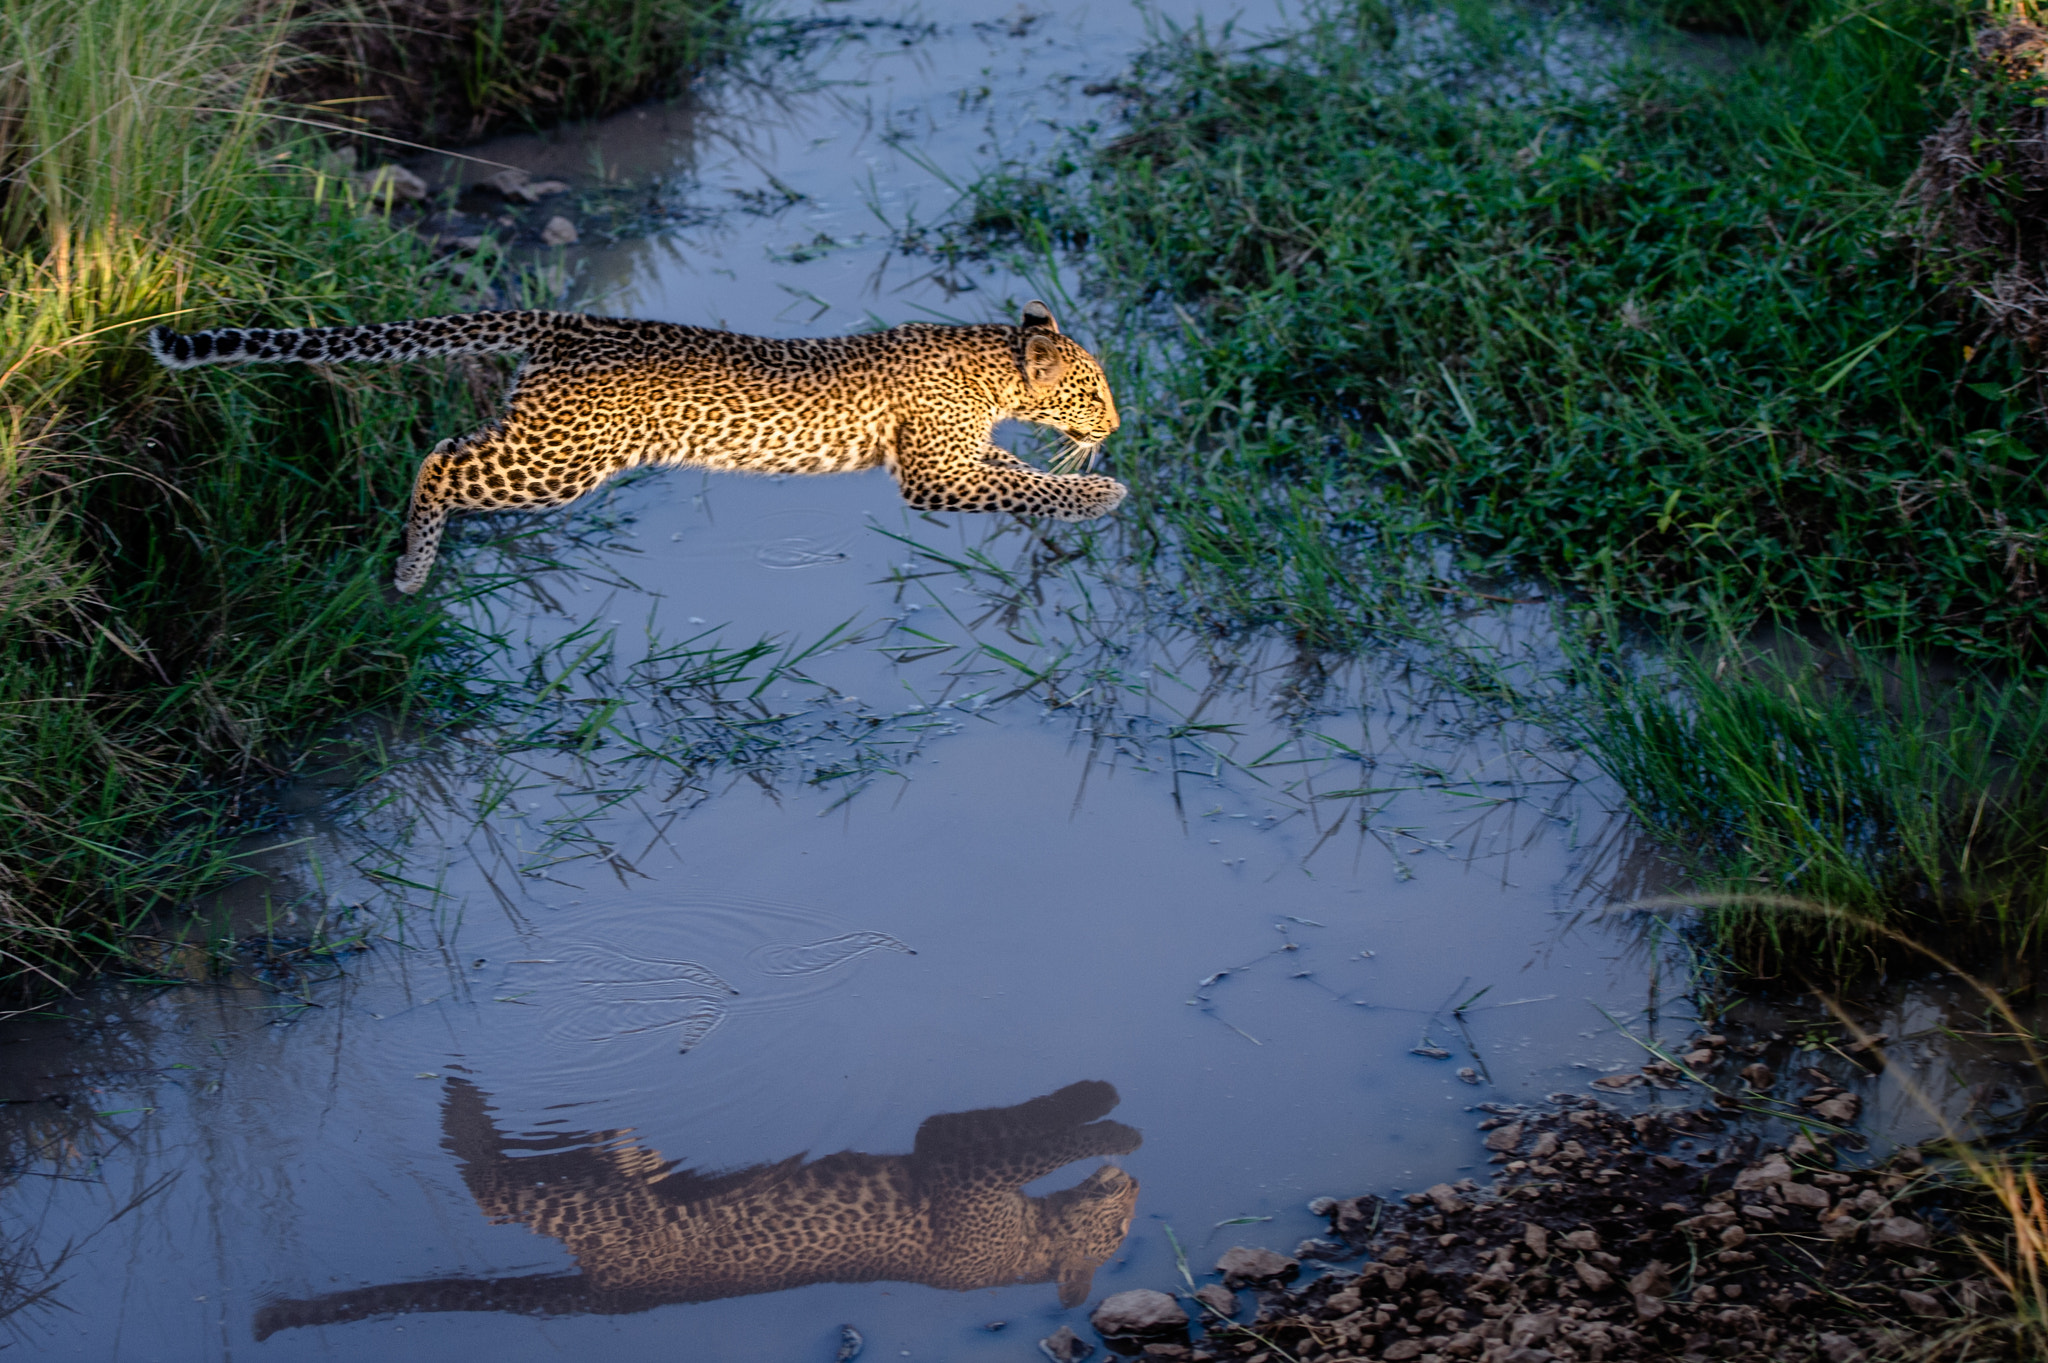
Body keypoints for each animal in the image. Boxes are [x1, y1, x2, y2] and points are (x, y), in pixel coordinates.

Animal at [146, 301, 1128, 594]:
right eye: (1093, 392)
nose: (1117, 426)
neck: (992, 366)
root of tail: (563, 322)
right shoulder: (932, 473)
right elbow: (1024, 484)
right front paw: (1102, 493)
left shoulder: (957, 459)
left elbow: (1015, 473)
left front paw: (1088, 482)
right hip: (556, 464)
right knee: (439, 460)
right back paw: (412, 573)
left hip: (536, 438)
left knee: (451, 439)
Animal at [251, 1078, 1142, 1339]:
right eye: (1127, 1229)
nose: (1134, 1193)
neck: (1025, 1247)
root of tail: (619, 1295)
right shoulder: (959, 1162)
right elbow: (1034, 1134)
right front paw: (1112, 1114)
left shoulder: (962, 1168)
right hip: (598, 1206)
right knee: (492, 1193)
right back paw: (459, 1104)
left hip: (594, 1197)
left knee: (515, 1188)